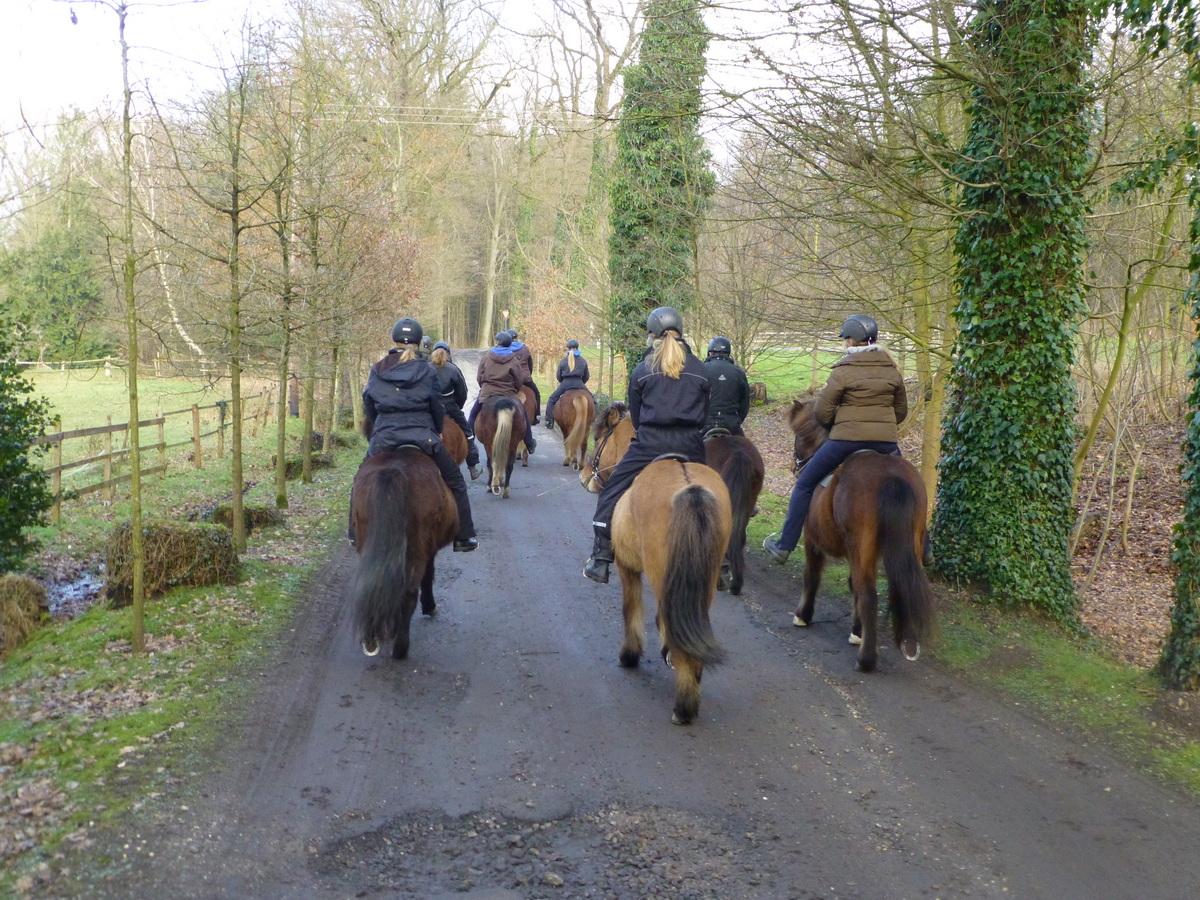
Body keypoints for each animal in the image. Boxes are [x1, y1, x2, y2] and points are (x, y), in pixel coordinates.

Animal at [349, 448, 457, 659]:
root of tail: (394, 472)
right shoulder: (429, 549)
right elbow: (428, 575)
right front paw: (429, 606)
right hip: (417, 547)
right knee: (408, 592)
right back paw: (400, 646)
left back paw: (373, 638)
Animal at [612, 458, 732, 725]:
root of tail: (691, 490)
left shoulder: (626, 566)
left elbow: (631, 608)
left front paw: (629, 655)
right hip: (704, 583)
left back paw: (683, 707)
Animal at [786, 398, 935, 672]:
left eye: (798, 437)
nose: (795, 466)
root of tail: (891, 478)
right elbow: (852, 585)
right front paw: (857, 631)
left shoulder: (812, 542)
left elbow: (811, 577)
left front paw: (803, 615)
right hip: (905, 547)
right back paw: (908, 642)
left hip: (858, 549)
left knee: (869, 597)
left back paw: (866, 659)